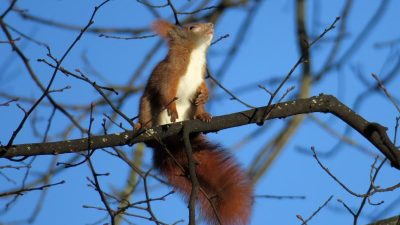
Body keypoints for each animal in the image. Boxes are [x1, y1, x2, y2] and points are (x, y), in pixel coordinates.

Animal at [136, 20, 252, 224]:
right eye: (192, 27)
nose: (211, 24)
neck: (196, 56)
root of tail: (171, 145)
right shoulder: (169, 73)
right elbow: (166, 92)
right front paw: (172, 109)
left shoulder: (200, 78)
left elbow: (202, 92)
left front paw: (204, 100)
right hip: (146, 107)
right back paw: (144, 128)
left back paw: (201, 119)